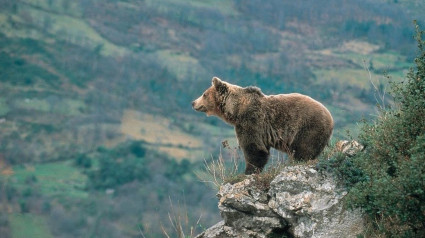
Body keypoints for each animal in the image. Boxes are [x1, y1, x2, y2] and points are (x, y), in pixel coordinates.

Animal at [193, 77, 334, 174]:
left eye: (204, 94)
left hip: (308, 127)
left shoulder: (251, 121)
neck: (236, 110)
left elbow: (254, 148)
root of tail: (330, 117)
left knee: (304, 150)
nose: (193, 102)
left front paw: (248, 172)